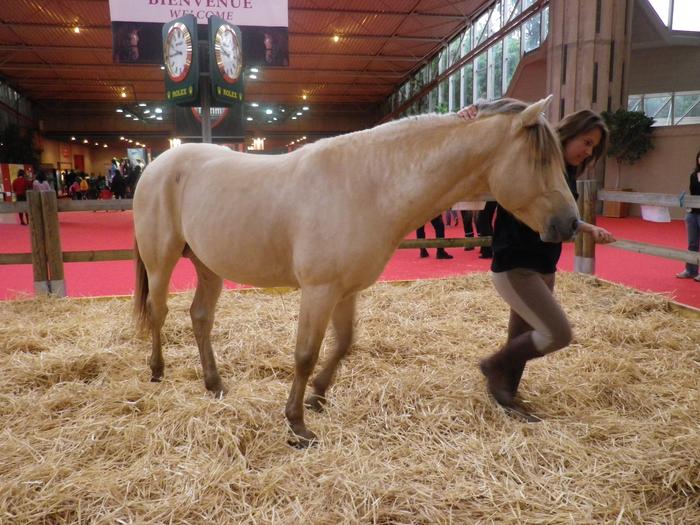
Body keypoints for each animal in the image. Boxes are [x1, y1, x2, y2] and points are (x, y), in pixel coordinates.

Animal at [134, 96, 576, 444]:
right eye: (539, 159)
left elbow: (344, 343)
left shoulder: (345, 290)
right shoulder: (319, 290)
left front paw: (317, 396)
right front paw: (297, 423)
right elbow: (305, 354)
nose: (569, 224)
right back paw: (157, 371)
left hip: (208, 265)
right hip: (162, 260)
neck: (369, 184)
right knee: (160, 312)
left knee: (200, 318)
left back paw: (214, 384)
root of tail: (156, 165)